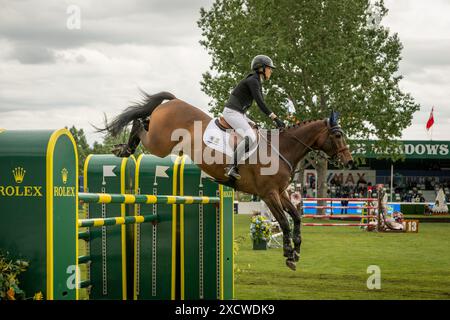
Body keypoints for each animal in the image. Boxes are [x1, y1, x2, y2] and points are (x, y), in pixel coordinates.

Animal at [99, 91, 356, 272]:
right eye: (337, 135)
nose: (349, 161)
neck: (281, 149)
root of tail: (174, 101)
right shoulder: (269, 194)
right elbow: (283, 222)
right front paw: (288, 255)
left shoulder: (281, 192)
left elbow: (296, 217)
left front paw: (297, 251)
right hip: (159, 143)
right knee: (140, 124)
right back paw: (125, 147)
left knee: (143, 121)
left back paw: (124, 148)